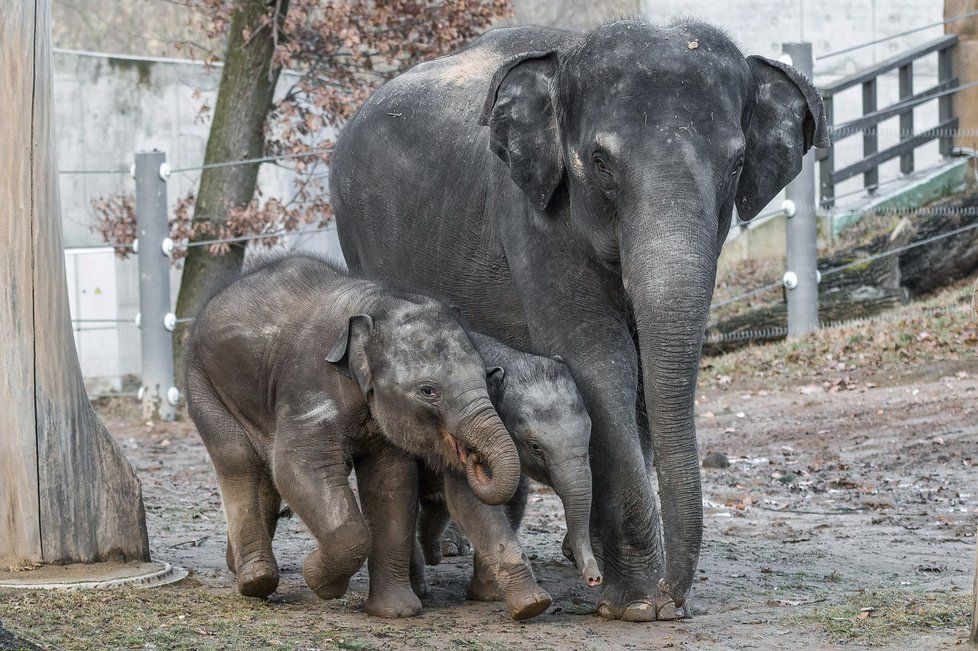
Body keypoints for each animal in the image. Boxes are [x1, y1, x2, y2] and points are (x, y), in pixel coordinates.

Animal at [189, 255, 528, 616]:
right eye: (428, 391)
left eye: (485, 375)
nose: (473, 457)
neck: (375, 306)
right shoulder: (308, 387)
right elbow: (298, 468)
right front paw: (321, 581)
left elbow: (391, 483)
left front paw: (396, 613)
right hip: (202, 383)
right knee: (237, 459)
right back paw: (257, 580)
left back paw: (238, 566)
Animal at [414, 332, 604, 616]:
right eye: (536, 447)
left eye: (590, 435)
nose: (594, 579)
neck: (509, 357)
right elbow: (469, 500)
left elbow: (514, 497)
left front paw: (488, 595)